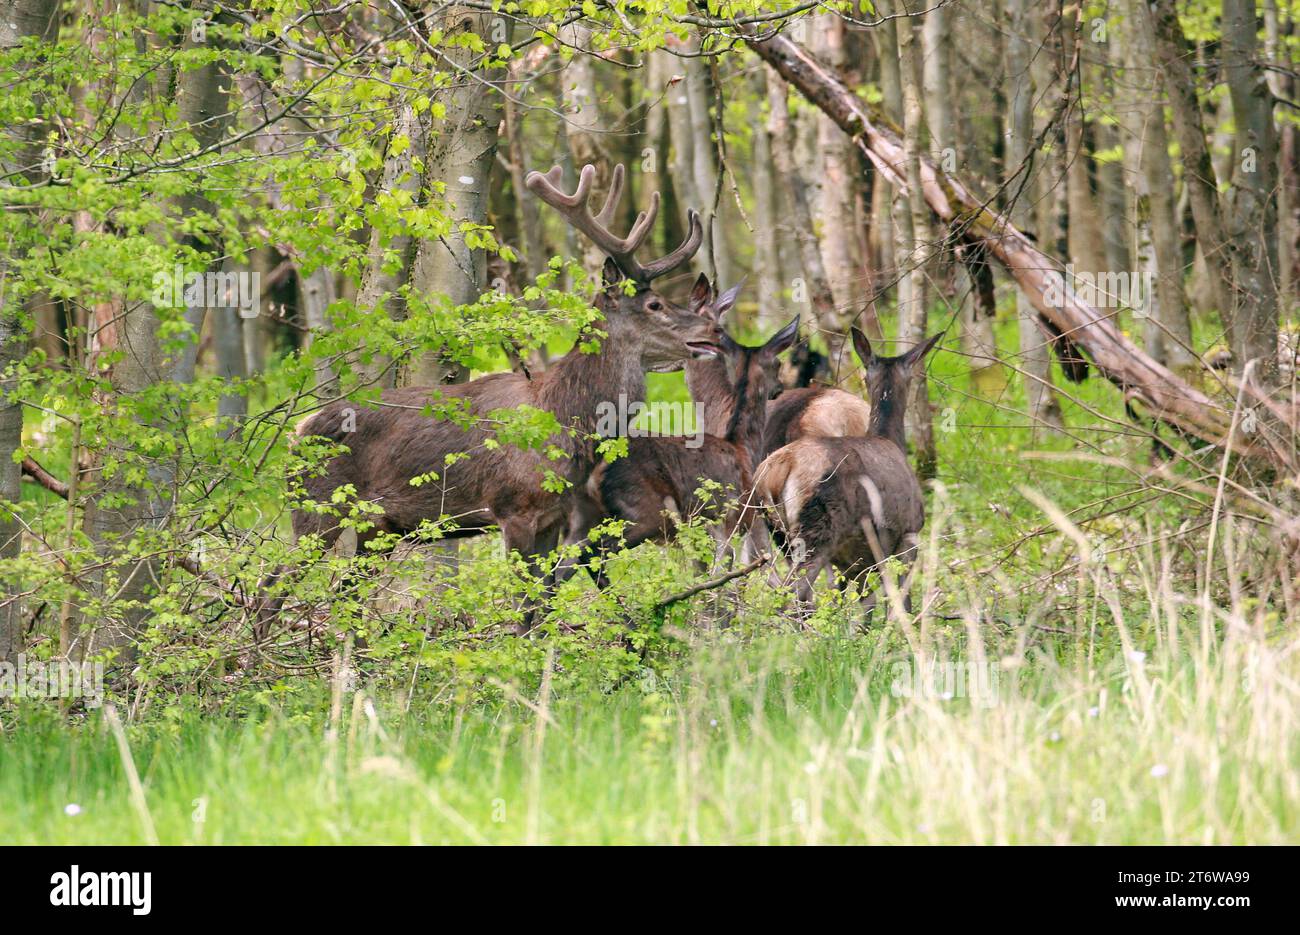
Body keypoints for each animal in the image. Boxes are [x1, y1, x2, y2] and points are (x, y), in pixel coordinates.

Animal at [257, 166, 717, 637]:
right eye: (655, 304)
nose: (713, 328)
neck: (563, 418)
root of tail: (297, 433)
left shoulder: (555, 516)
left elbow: (544, 604)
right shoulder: (512, 507)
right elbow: (522, 607)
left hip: (373, 526)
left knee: (345, 592)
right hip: (316, 506)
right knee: (269, 588)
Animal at [754, 329, 946, 621]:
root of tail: (782, 469)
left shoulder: (855, 558)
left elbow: (863, 606)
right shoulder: (910, 533)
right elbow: (901, 602)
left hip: (775, 529)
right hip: (817, 530)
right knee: (795, 596)